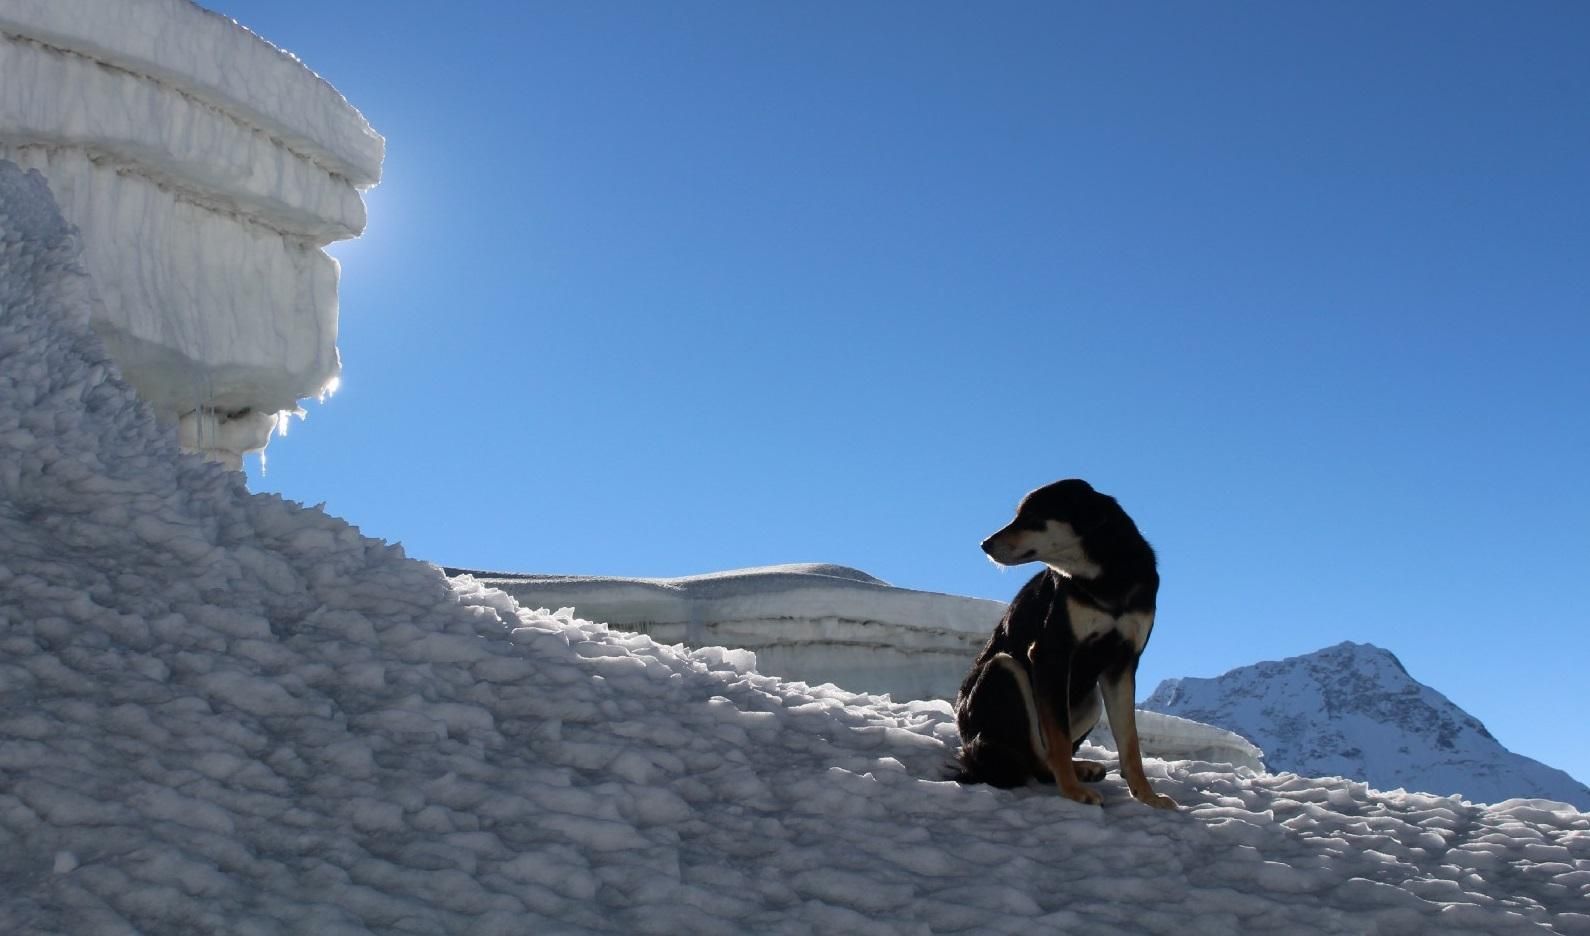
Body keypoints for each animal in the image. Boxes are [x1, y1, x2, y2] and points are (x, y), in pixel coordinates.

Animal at [947, 476, 1176, 807]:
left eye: (1032, 517)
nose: (985, 544)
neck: (1105, 576)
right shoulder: (1051, 654)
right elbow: (1060, 738)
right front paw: (1072, 791)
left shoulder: (1123, 663)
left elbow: (1130, 742)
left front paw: (1148, 796)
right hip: (1004, 668)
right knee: (1039, 758)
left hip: (1091, 700)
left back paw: (1084, 768)